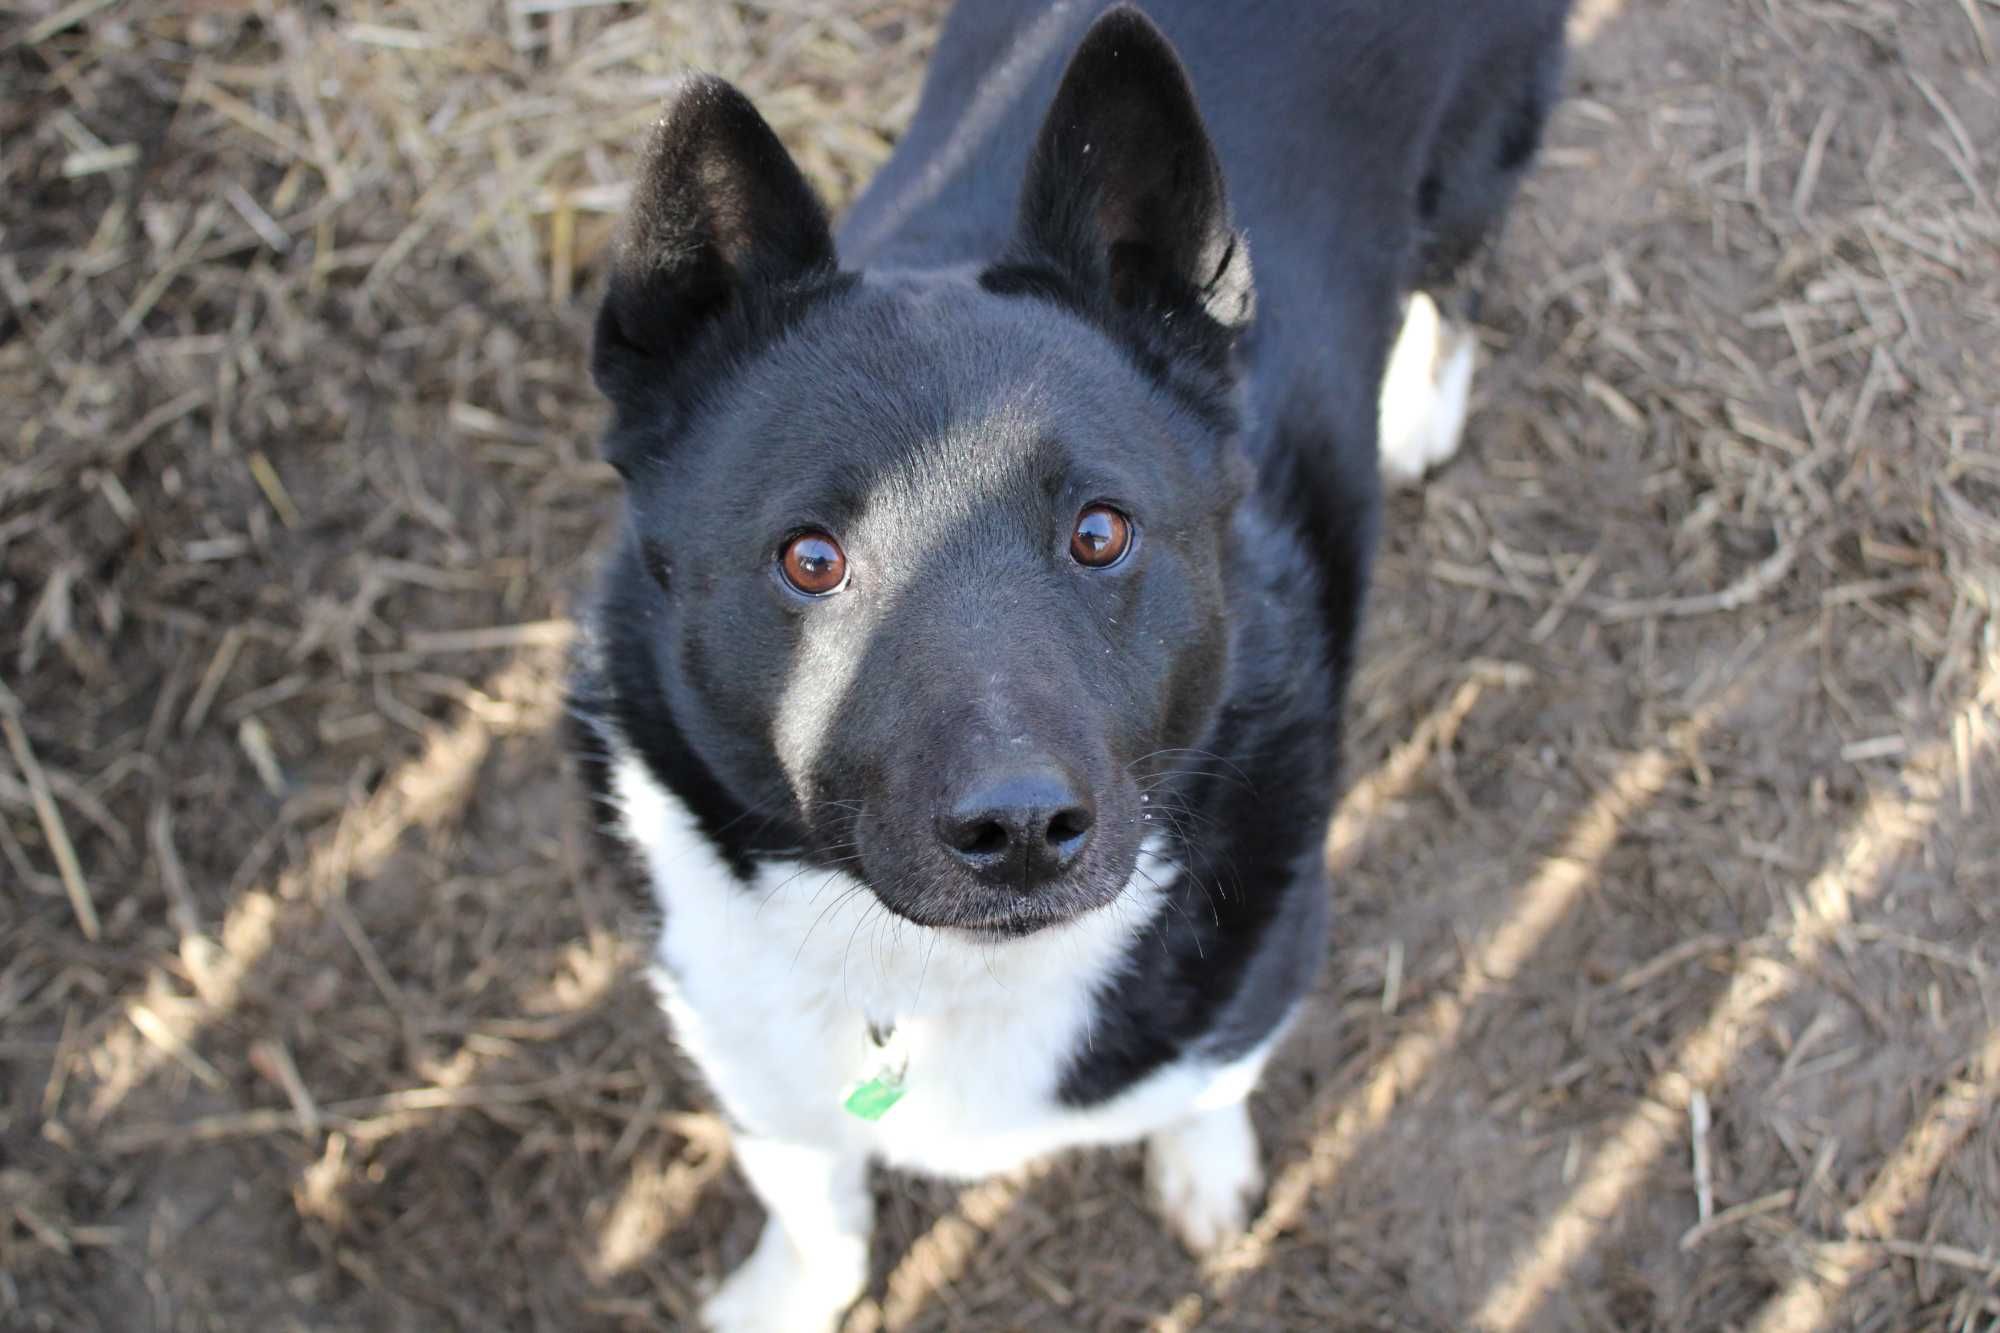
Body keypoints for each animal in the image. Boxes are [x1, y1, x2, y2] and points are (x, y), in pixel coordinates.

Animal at [572, 5, 1568, 1320]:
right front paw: (788, 1295)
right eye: (808, 558)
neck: (940, 977)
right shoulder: (746, 1054)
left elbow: (1208, 1085)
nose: (1020, 832)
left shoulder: (1257, 972)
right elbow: (811, 1195)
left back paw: (1411, 407)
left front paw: (1204, 1171)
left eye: (1099, 533)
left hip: (1475, 169)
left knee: (1450, 281)